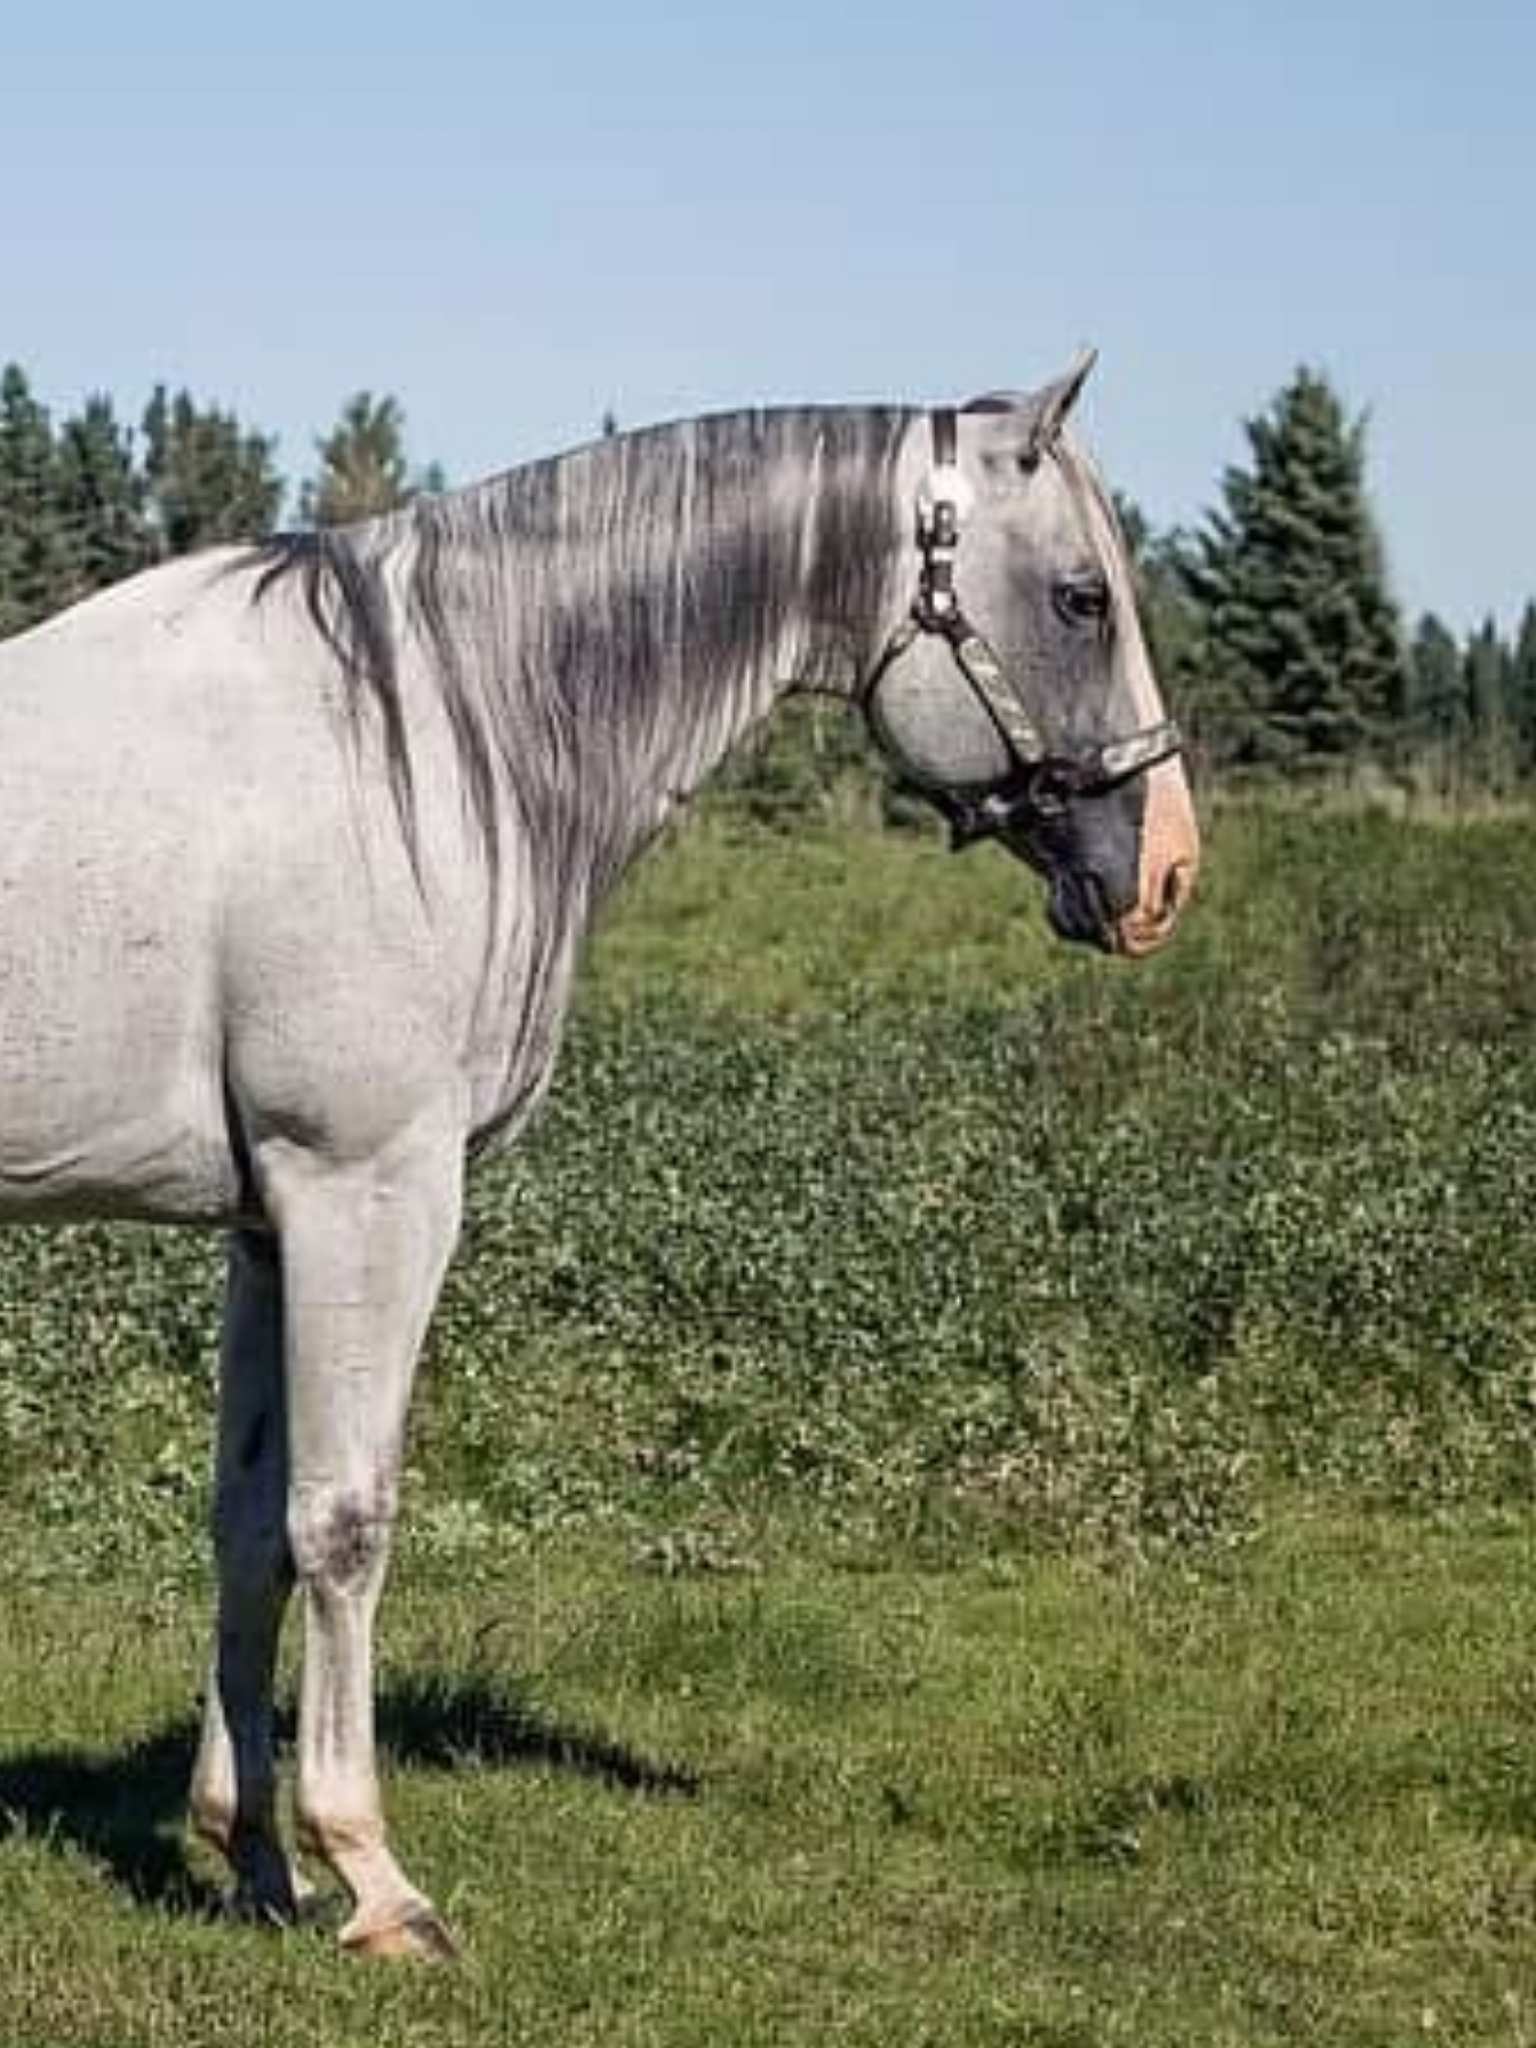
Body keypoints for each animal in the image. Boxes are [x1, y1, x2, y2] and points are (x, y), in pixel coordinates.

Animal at [0, 352, 1198, 1957]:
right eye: (1080, 598)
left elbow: (250, 1524)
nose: (1168, 871)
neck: (416, 746)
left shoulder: (267, 1224)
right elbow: (346, 1519)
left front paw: (253, 1857)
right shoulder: (367, 1193)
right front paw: (372, 1876)